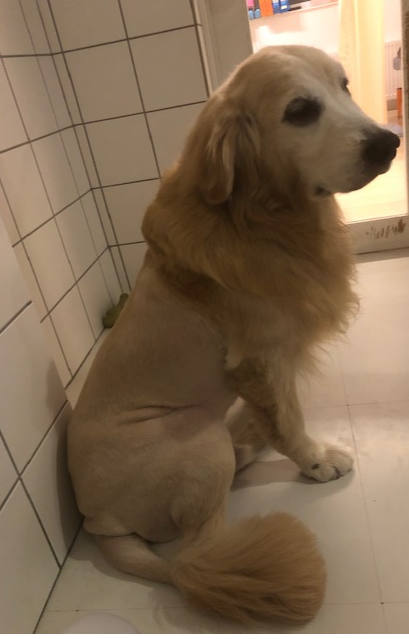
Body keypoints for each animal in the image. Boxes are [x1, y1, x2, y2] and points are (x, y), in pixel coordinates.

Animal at [68, 46, 399, 626]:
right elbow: (289, 423)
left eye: (344, 86)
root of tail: (97, 520)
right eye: (299, 111)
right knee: (202, 547)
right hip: (197, 434)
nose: (389, 142)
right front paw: (315, 461)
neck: (260, 216)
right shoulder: (259, 360)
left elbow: (281, 415)